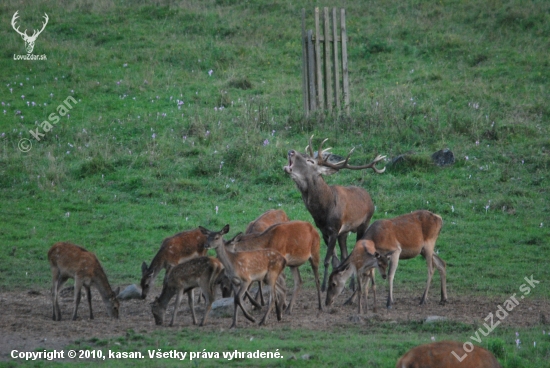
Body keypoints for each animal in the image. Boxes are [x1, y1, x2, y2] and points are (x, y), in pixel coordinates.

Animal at [284, 135, 388, 290]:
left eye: (310, 161)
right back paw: (350, 284)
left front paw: (324, 286)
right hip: (344, 232)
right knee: (345, 255)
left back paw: (353, 285)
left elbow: (327, 260)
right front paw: (331, 283)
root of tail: (369, 197)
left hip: (364, 223)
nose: (291, 151)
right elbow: (334, 260)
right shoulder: (324, 231)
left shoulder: (334, 229)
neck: (323, 211)